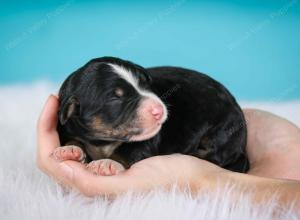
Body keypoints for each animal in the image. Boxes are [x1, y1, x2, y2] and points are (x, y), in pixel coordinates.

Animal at [54, 56, 248, 175]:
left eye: (146, 84)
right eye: (116, 98)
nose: (159, 110)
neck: (103, 141)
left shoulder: (145, 143)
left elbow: (127, 152)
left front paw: (107, 163)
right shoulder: (69, 126)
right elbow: (73, 138)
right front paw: (69, 149)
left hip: (224, 130)